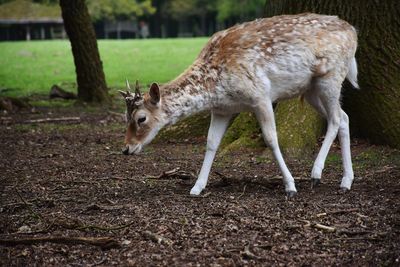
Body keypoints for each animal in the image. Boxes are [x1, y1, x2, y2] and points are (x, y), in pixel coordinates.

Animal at [119, 13, 360, 199]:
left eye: (141, 118)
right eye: (125, 117)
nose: (127, 148)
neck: (213, 84)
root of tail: (354, 31)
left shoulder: (261, 95)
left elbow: (271, 139)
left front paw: (290, 186)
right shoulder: (222, 109)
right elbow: (211, 143)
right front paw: (197, 187)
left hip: (331, 76)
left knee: (335, 119)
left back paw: (316, 173)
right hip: (310, 90)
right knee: (344, 117)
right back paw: (346, 181)